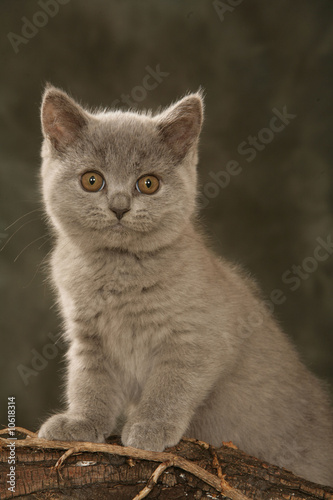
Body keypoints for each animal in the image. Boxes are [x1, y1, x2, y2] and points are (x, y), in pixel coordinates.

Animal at [39, 84, 332, 486]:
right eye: (92, 180)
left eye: (148, 183)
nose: (119, 206)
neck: (118, 271)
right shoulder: (89, 339)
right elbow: (89, 383)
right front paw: (80, 423)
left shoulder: (197, 339)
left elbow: (171, 384)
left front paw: (150, 427)